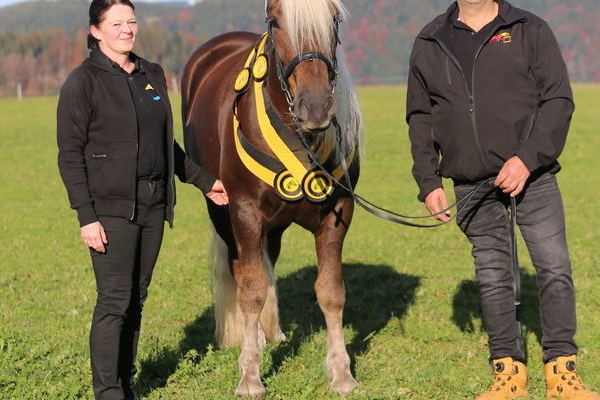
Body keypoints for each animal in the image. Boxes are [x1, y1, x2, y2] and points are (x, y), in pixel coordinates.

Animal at [180, 0, 360, 396]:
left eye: (335, 21)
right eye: (276, 22)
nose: (315, 107)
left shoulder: (337, 214)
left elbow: (331, 291)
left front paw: (341, 373)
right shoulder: (244, 213)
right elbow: (251, 290)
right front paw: (250, 375)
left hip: (274, 225)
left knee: (268, 262)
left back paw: (272, 331)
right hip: (223, 214)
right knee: (241, 270)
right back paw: (257, 340)